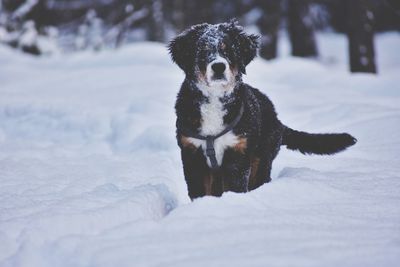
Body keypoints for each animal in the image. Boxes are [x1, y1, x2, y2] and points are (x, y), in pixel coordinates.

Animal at [169, 20, 356, 201]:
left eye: (228, 50)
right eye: (203, 51)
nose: (219, 67)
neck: (215, 99)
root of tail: (278, 120)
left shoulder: (238, 154)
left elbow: (234, 189)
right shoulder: (192, 154)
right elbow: (200, 193)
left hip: (261, 159)